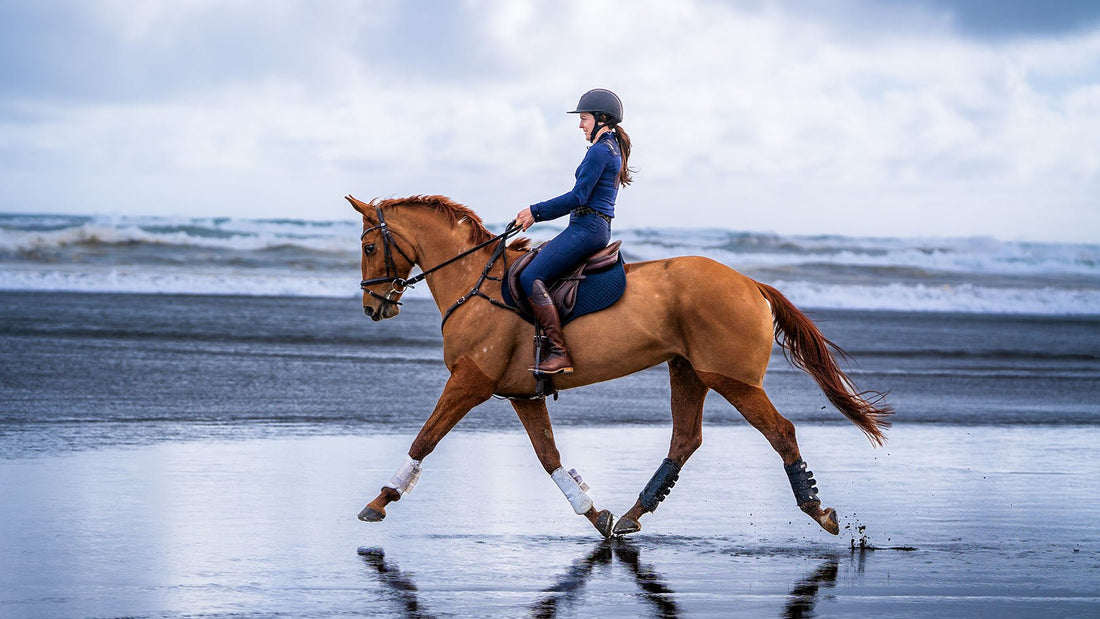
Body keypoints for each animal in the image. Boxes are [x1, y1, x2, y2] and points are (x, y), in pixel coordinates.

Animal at [348, 194, 892, 537]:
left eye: (370, 246)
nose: (374, 307)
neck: (475, 283)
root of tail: (750, 283)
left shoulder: (469, 381)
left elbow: (425, 438)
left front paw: (380, 500)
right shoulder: (523, 394)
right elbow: (549, 457)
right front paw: (595, 514)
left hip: (730, 379)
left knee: (780, 431)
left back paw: (817, 510)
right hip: (688, 371)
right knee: (684, 440)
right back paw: (633, 514)